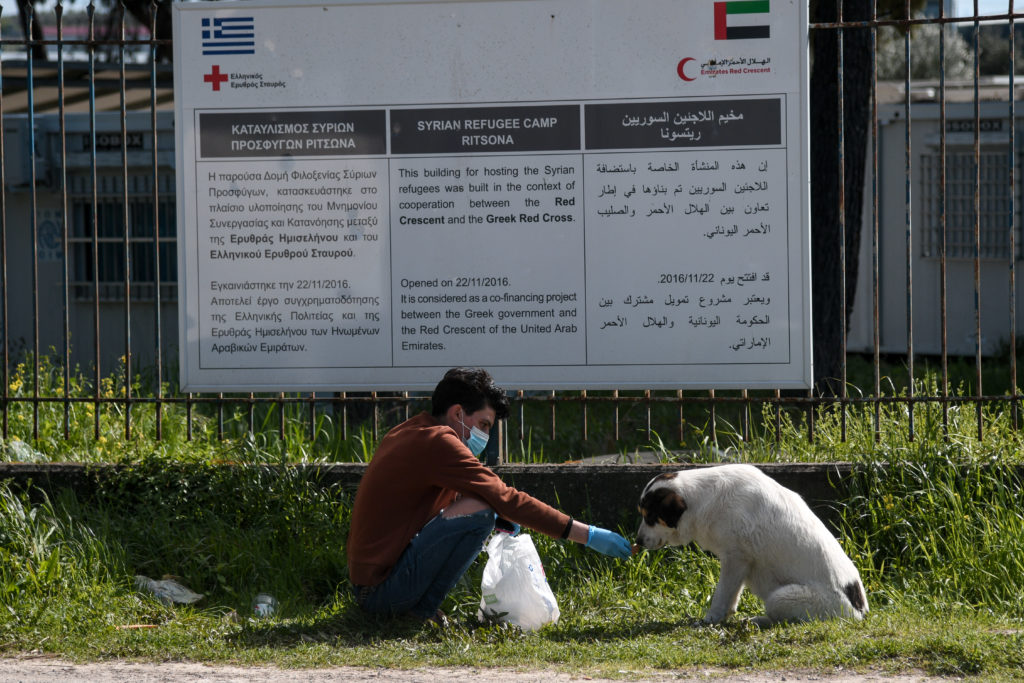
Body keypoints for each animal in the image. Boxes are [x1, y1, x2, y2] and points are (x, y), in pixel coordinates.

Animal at [634, 462, 868, 626]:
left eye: (650, 516)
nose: (637, 541)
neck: (702, 499)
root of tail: (859, 613)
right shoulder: (738, 563)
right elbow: (731, 595)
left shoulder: (735, 558)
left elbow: (722, 593)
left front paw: (711, 619)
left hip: (780, 597)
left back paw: (759, 620)